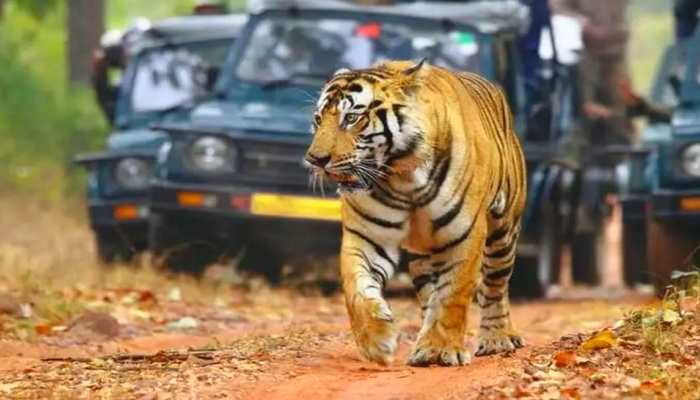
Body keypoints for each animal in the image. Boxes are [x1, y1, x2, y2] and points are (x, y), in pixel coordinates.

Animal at [304, 59, 528, 366]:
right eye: (318, 119)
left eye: (350, 118)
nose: (314, 159)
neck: (402, 177)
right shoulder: (367, 237)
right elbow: (356, 289)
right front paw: (377, 341)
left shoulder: (465, 235)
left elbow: (453, 294)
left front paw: (443, 348)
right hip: (424, 255)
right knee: (429, 294)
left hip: (503, 232)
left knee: (495, 285)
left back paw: (497, 338)